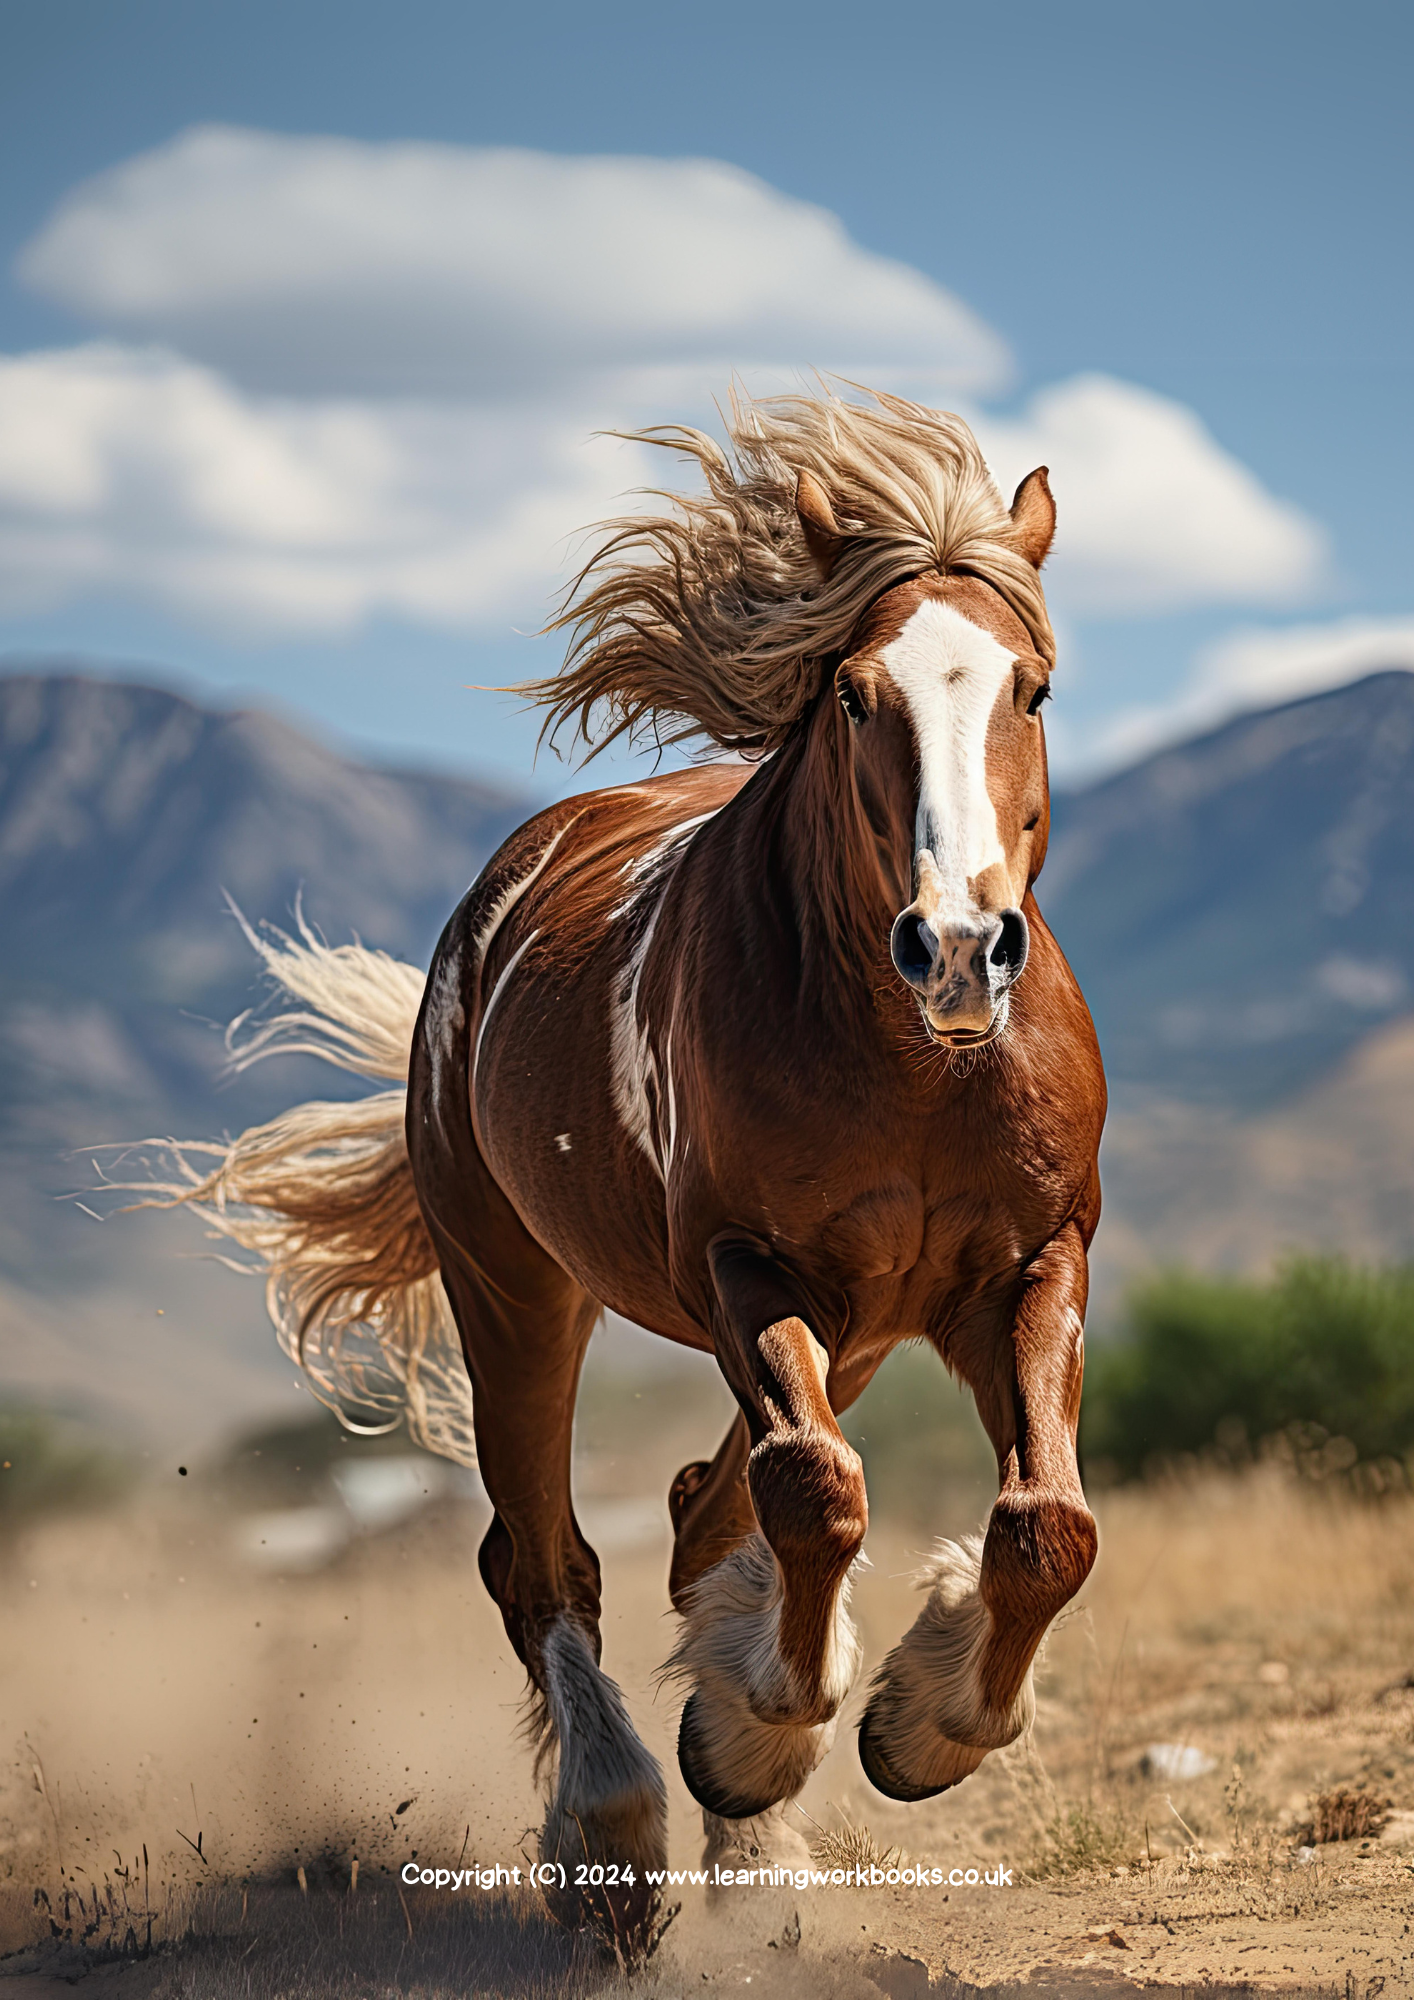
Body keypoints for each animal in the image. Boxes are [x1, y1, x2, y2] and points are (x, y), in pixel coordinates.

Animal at [149, 388, 1105, 1952]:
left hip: (864, 1323)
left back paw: (746, 1843)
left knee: (698, 1505)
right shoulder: (740, 1268)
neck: (914, 1061)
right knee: (548, 1560)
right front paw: (772, 1727)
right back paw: (614, 1834)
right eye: (856, 695)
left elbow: (1045, 1527)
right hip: (519, 1292)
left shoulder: (1026, 1266)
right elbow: (813, 1490)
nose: (958, 948)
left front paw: (906, 1724)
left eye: (1028, 688)